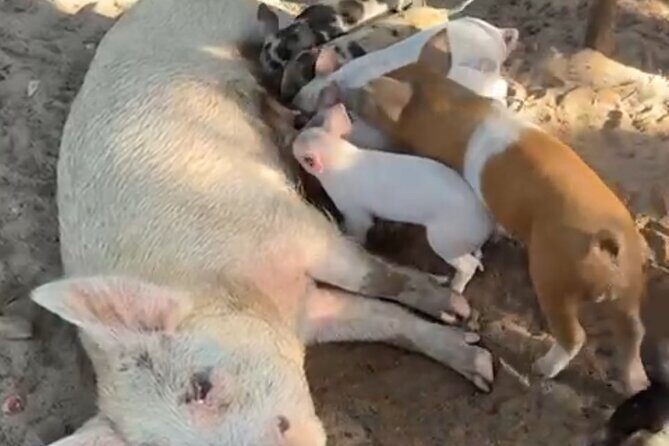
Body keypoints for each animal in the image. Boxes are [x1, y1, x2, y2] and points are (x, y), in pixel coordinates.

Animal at [292, 103, 492, 293]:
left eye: (302, 155)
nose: (293, 138)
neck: (339, 159)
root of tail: (486, 227)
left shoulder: (354, 210)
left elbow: (360, 228)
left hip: (445, 239)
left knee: (470, 266)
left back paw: (454, 289)